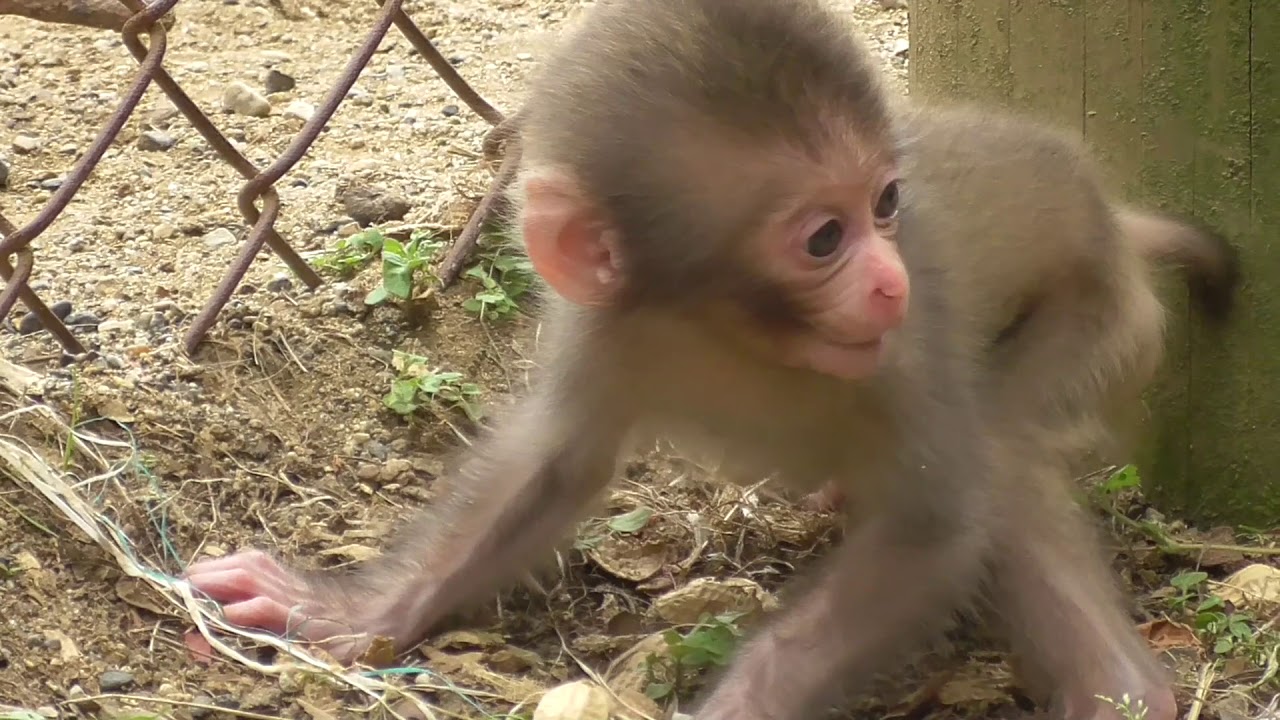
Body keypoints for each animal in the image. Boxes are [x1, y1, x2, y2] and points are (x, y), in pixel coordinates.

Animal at [182, 1, 1240, 719]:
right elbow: (555, 467)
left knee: (1007, 449)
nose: (888, 282)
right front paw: (349, 609)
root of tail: (1111, 219)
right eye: (824, 239)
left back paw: (1120, 688)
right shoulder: (604, 325)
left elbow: (936, 524)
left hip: (1102, 315)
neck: (730, 329)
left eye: (887, 203)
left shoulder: (911, 346)